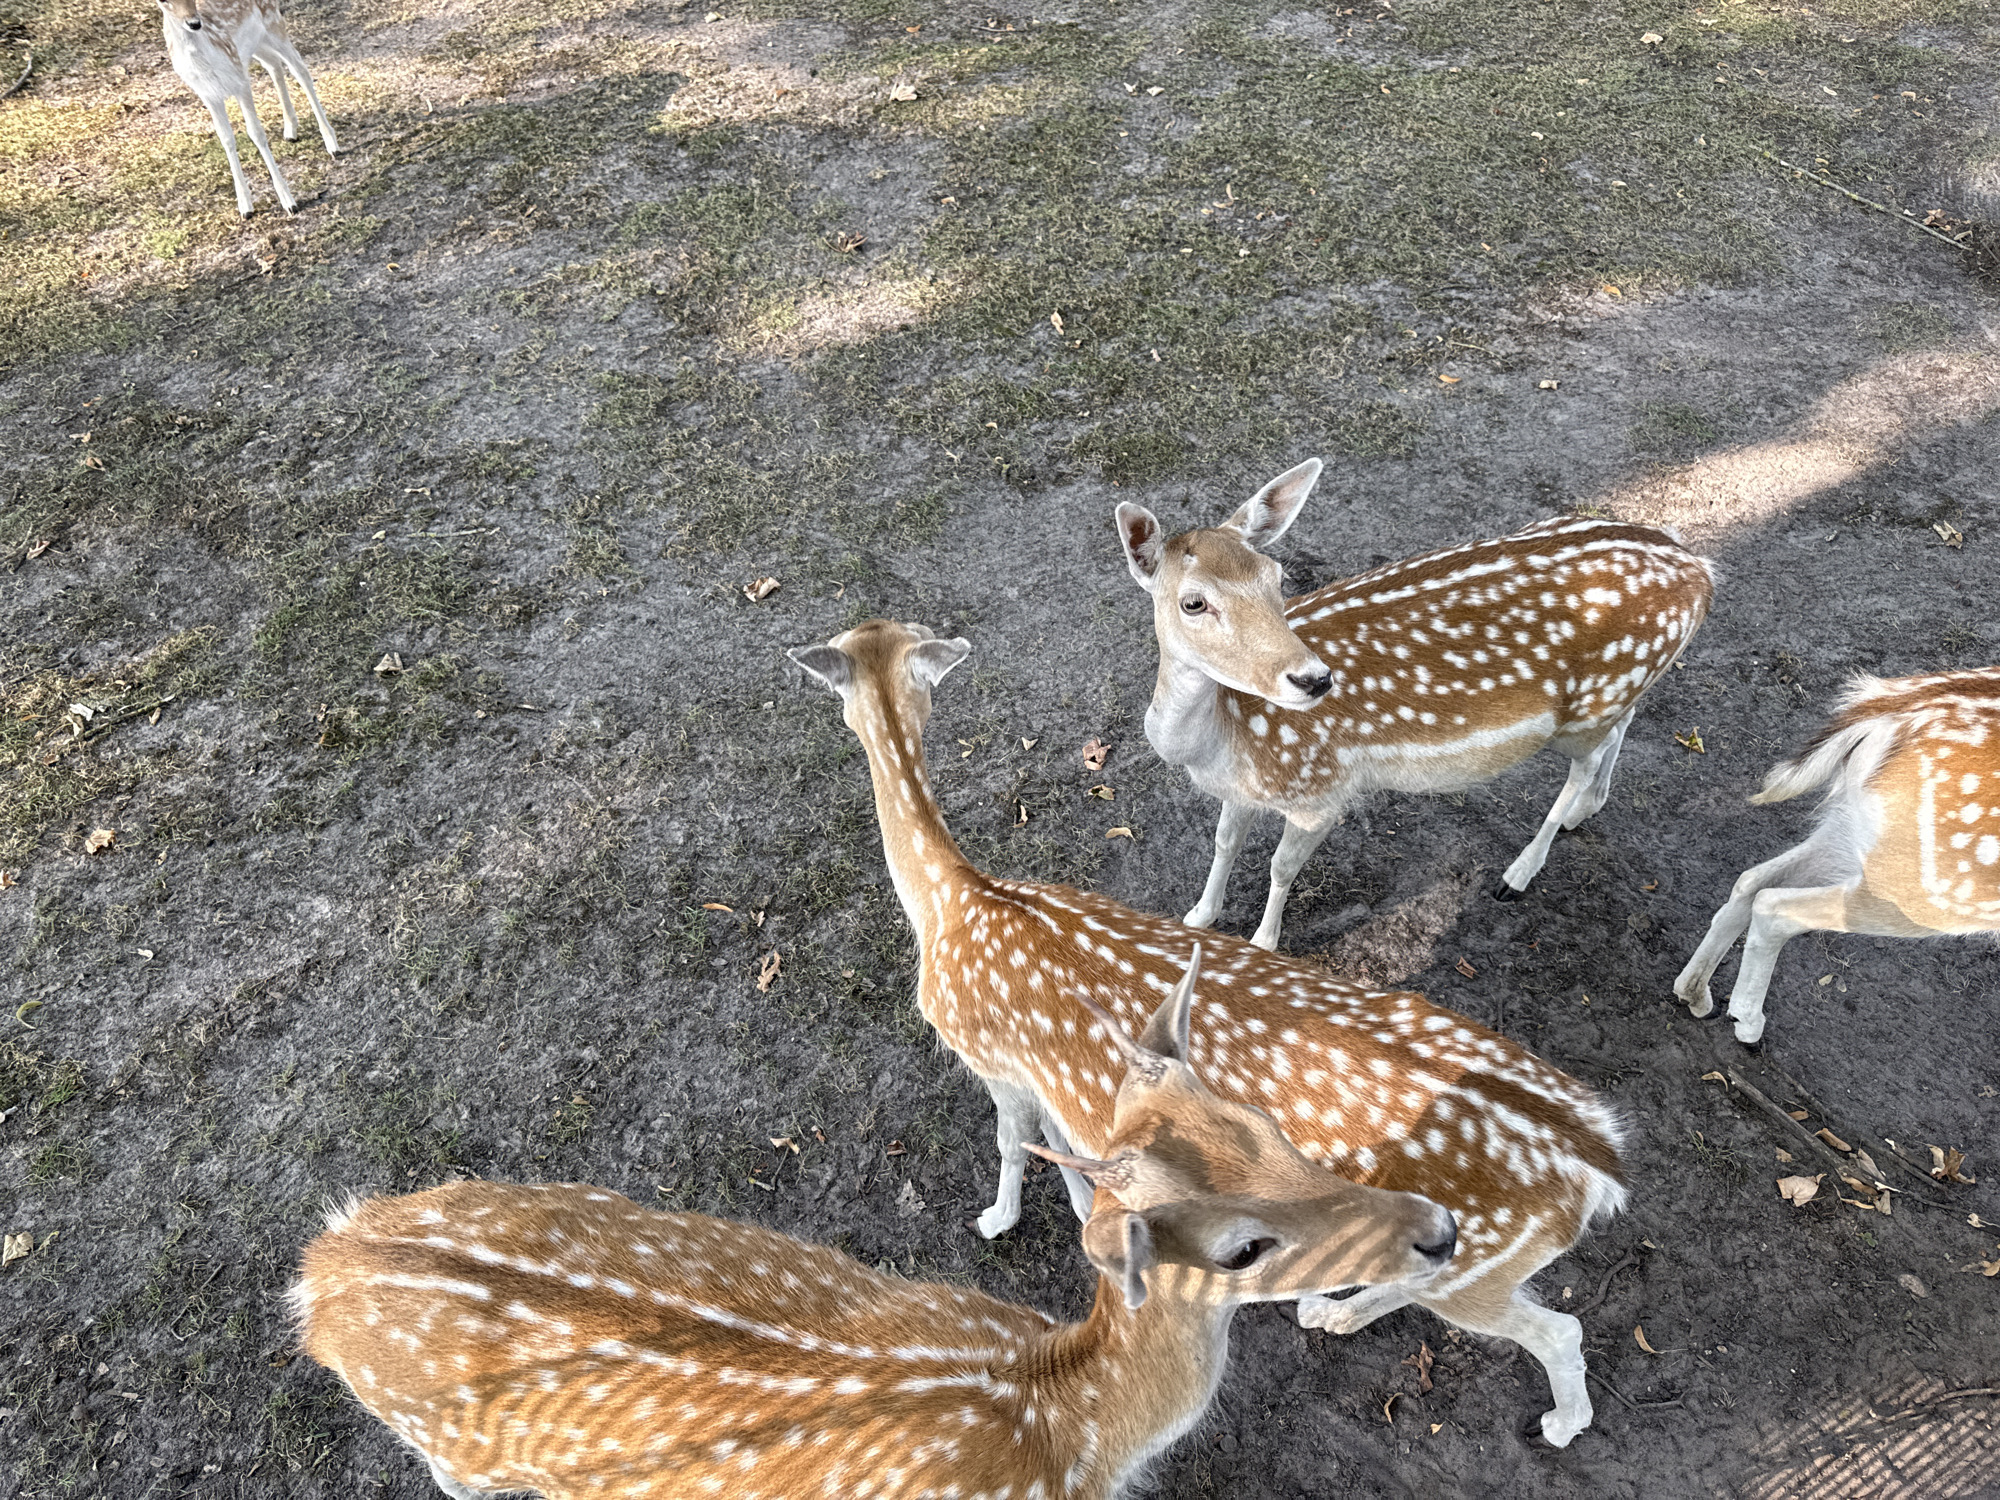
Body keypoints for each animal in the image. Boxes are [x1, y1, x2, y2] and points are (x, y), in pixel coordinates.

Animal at [157, 0, 340, 217]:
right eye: (163, 1)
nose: (194, 23)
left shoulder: (240, 78)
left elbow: (256, 133)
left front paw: (289, 201)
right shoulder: (208, 95)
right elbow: (226, 139)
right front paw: (244, 206)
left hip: (273, 24)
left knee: (299, 69)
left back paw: (332, 145)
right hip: (257, 44)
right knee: (274, 65)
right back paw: (290, 130)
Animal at [291, 949, 1461, 1500]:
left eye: (1263, 1123)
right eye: (1241, 1248)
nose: (1439, 1231)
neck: (1067, 1437)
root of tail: (321, 1269)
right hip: (450, 1445)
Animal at [790, 618, 1630, 1446]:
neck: (951, 904)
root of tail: (1598, 1168)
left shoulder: (991, 1056)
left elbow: (1010, 1146)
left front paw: (997, 1220)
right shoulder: (1049, 1076)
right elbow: (1064, 1146)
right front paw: (1087, 1212)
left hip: (1485, 1265)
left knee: (1561, 1331)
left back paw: (1559, 1424)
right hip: (1461, 1255)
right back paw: (1331, 1312)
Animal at [1114, 458, 1717, 951]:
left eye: (1277, 577)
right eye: (1193, 602)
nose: (1315, 679)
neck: (1221, 744)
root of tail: (1703, 570)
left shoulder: (1321, 790)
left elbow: (1280, 868)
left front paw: (1264, 944)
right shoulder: (1243, 789)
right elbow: (1223, 843)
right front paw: (1197, 917)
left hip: (1592, 704)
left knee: (1585, 761)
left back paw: (1520, 872)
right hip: (1618, 690)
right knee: (1624, 724)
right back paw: (1586, 809)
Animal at [1676, 666, 2000, 1044]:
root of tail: (1887, 714)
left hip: (1853, 834)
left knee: (1751, 880)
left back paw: (1694, 994)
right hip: (1935, 892)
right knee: (1774, 905)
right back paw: (1748, 1024)